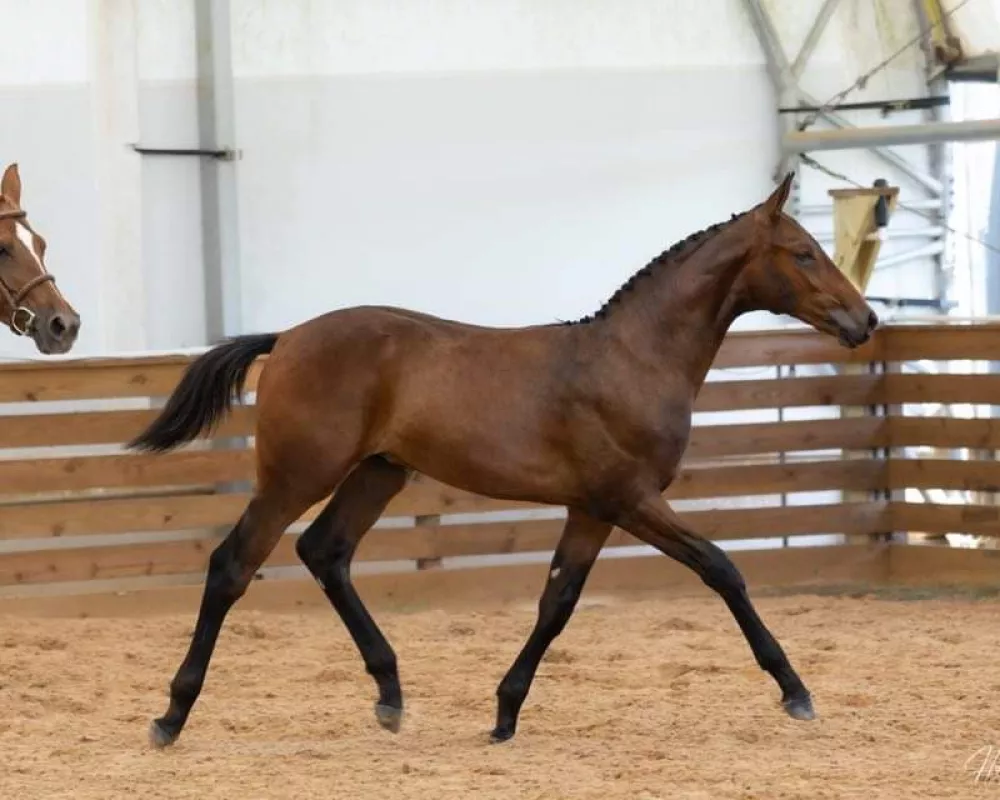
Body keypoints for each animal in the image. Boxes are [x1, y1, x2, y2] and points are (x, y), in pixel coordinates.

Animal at [127, 172, 876, 748]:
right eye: (804, 252)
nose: (865, 322)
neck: (635, 356)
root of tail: (285, 338)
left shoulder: (591, 509)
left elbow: (557, 601)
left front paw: (505, 713)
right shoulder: (630, 499)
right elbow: (721, 569)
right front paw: (796, 691)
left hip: (378, 471)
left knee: (325, 551)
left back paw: (390, 694)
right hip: (297, 475)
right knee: (234, 564)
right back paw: (172, 715)